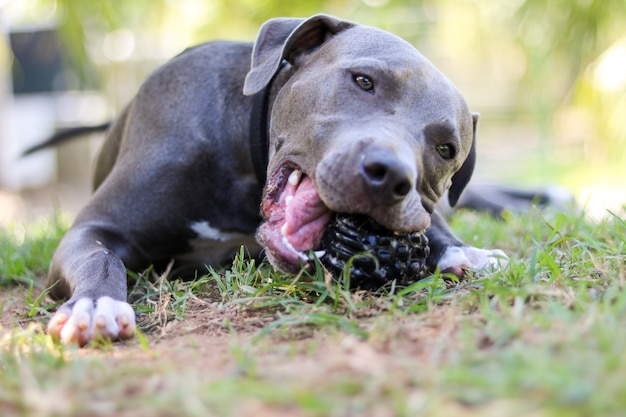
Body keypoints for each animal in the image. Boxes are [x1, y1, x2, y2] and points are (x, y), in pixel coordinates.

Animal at [26, 13, 512, 344]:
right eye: (363, 80)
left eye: (446, 149)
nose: (391, 174)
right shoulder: (94, 228)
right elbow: (100, 258)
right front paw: (96, 304)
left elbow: (433, 225)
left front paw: (463, 250)